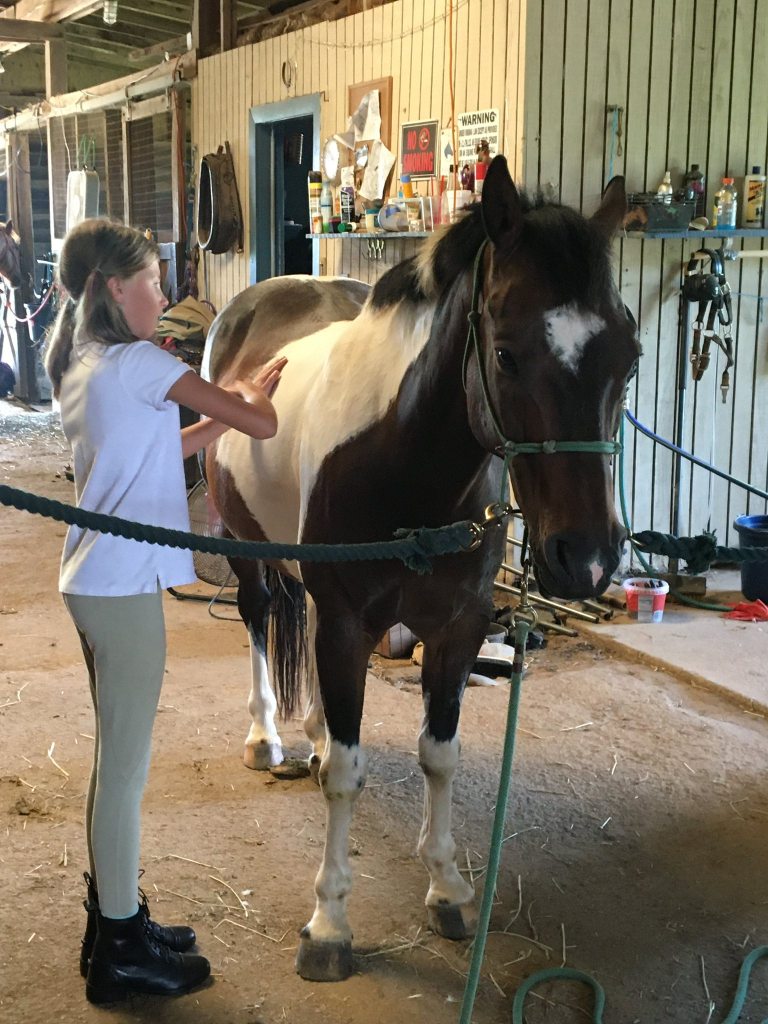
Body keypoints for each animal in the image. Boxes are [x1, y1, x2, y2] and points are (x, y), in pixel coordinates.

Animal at [203, 155, 641, 982]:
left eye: (629, 357)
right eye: (505, 352)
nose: (587, 557)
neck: (404, 464)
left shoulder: (458, 627)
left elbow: (439, 754)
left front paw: (447, 888)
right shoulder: (349, 625)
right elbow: (348, 775)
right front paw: (329, 925)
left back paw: (312, 733)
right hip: (251, 557)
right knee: (257, 623)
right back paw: (268, 739)